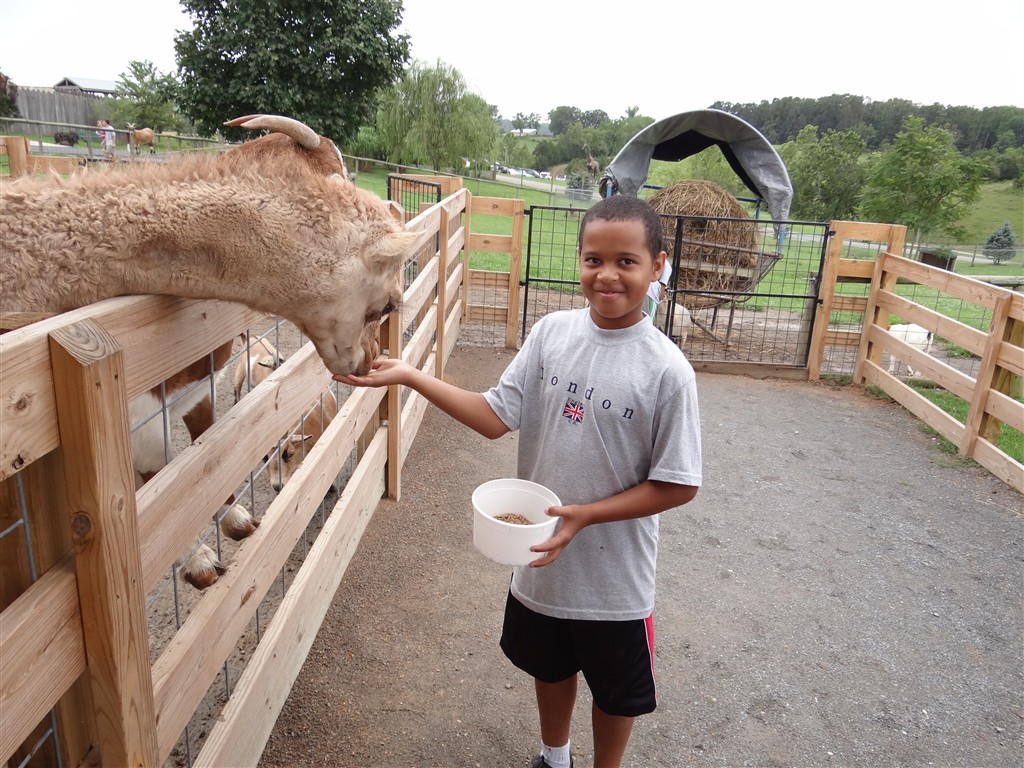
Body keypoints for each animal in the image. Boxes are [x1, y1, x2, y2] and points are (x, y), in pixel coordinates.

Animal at [1, 113, 417, 588]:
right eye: (387, 304)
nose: (369, 360)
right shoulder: (134, 415)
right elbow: (153, 487)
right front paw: (197, 559)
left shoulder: (191, 391)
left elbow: (205, 455)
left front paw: (235, 518)